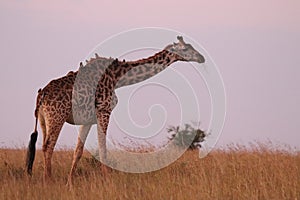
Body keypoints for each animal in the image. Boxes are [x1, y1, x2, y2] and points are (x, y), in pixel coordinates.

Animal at [25, 36, 205, 184]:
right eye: (186, 49)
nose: (201, 58)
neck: (118, 77)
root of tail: (41, 95)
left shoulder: (88, 120)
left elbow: (78, 150)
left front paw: (70, 183)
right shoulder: (104, 111)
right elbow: (103, 149)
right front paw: (107, 181)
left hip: (44, 120)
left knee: (44, 145)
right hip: (57, 117)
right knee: (49, 146)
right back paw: (48, 181)